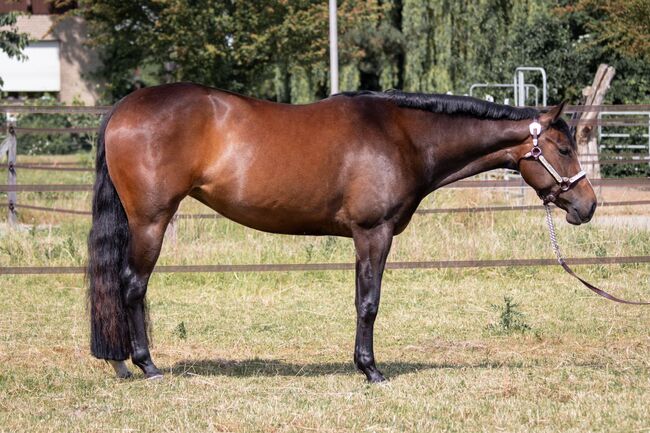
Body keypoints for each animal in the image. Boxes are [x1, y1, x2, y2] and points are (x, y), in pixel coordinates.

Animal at [88, 83, 596, 382]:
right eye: (563, 148)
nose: (587, 206)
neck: (404, 136)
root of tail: (124, 108)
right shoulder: (375, 233)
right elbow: (370, 303)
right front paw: (372, 371)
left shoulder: (361, 238)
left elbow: (359, 301)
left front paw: (361, 364)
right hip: (151, 221)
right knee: (132, 286)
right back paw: (144, 366)